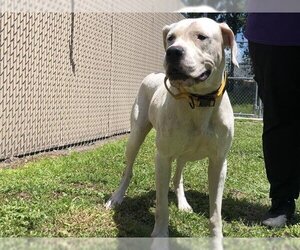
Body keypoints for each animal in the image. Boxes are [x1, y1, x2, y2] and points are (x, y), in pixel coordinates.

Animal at [106, 18, 239, 238]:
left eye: (201, 37)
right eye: (170, 38)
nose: (172, 52)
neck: (198, 102)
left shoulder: (219, 162)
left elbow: (215, 212)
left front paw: (217, 239)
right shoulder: (162, 158)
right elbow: (162, 207)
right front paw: (160, 237)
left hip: (184, 154)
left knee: (178, 177)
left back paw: (183, 203)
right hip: (135, 136)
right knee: (128, 170)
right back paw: (116, 197)